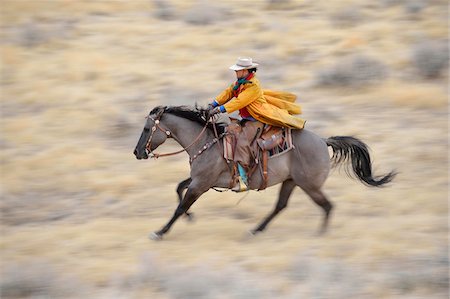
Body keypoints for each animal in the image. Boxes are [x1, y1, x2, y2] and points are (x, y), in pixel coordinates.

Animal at [133, 106, 394, 240]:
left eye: (146, 129)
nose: (137, 152)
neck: (206, 143)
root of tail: (323, 141)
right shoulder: (199, 180)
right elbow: (178, 189)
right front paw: (190, 217)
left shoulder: (201, 183)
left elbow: (180, 206)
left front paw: (160, 232)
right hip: (291, 181)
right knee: (281, 206)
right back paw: (256, 229)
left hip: (309, 185)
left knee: (327, 206)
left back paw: (320, 235)